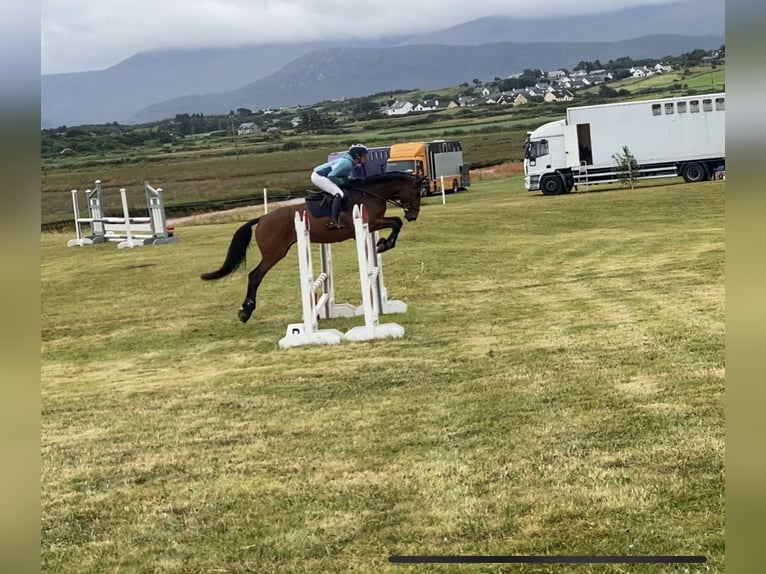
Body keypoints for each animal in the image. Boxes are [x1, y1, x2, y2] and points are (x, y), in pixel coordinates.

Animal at [201, 171, 426, 324]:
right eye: (416, 192)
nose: (413, 215)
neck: (370, 194)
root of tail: (262, 218)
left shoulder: (373, 223)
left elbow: (396, 222)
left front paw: (382, 243)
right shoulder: (369, 223)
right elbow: (396, 222)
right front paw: (384, 244)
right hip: (274, 253)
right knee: (255, 276)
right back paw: (245, 312)